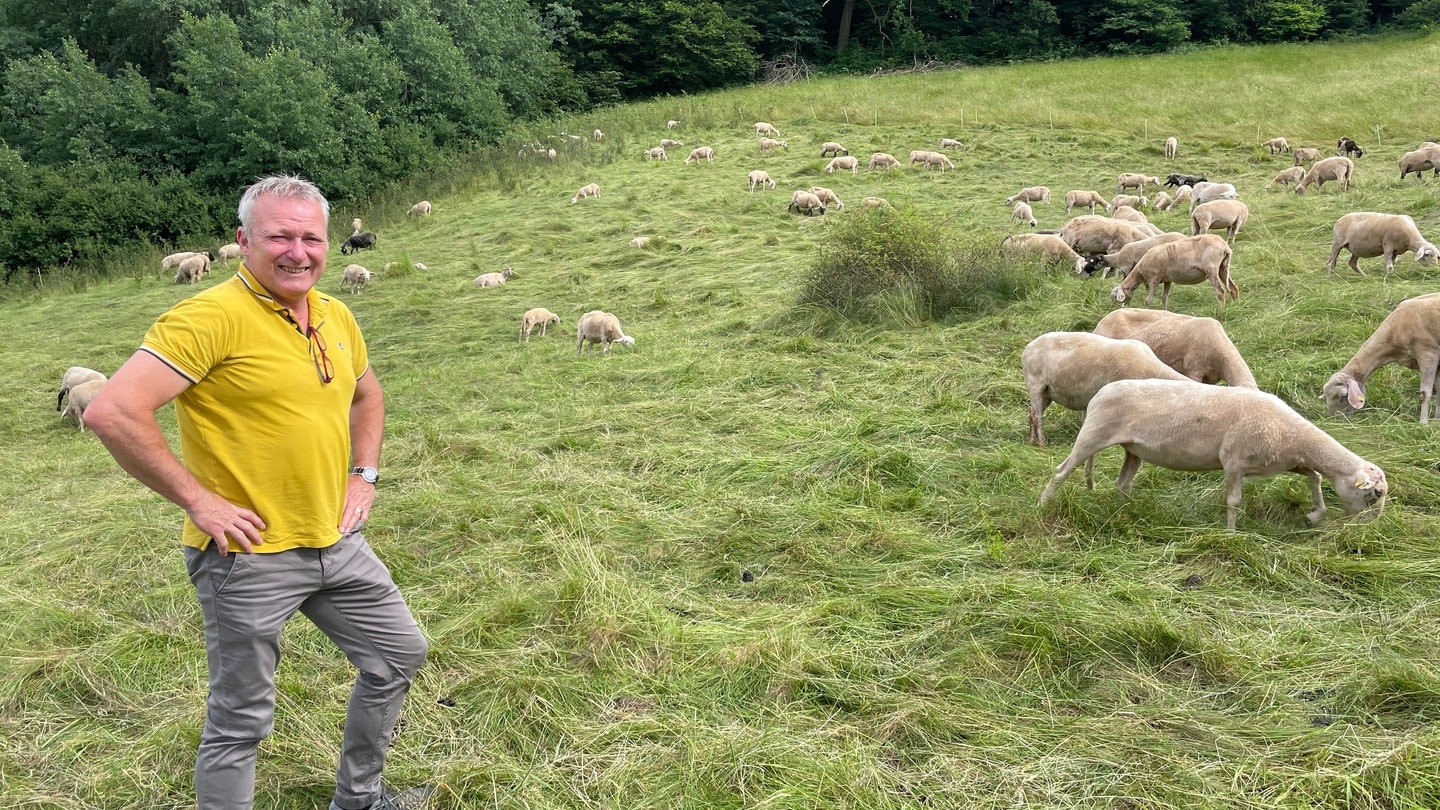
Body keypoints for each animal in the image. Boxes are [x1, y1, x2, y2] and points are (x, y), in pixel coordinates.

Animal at [1019, 330, 1186, 446]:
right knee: (1037, 416)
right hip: (1035, 384)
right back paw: (1042, 443)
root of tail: (1027, 349)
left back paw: (1031, 442)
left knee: (1031, 413)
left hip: (1047, 393)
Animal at [1042, 377, 1388, 530]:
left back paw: (1132, 511)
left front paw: (1315, 513)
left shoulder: (1283, 461)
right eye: (1374, 495)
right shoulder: (1234, 463)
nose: (1370, 525)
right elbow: (1233, 501)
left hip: (1133, 449)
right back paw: (1043, 505)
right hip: (1093, 435)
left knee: (1122, 483)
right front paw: (1231, 533)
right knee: (1061, 471)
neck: (1295, 436)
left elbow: (1314, 476)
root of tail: (1100, 392)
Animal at [1319, 289, 1440, 417]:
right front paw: (1436, 418)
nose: (1336, 418)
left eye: (1343, 396)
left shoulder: (1429, 354)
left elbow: (1425, 394)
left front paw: (1424, 421)